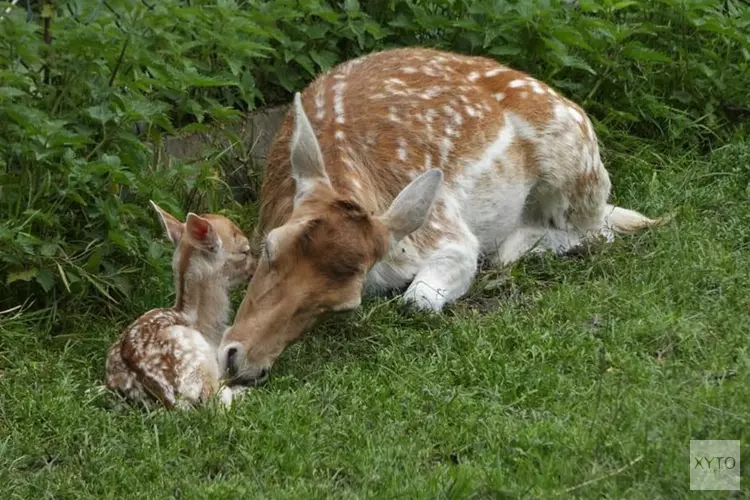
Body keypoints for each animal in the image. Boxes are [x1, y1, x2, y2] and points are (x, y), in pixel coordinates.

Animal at [217, 47, 668, 384]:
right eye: (271, 247)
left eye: (344, 305)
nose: (240, 361)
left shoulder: (446, 233)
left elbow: (418, 299)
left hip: (575, 161)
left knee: (597, 229)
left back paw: (512, 248)